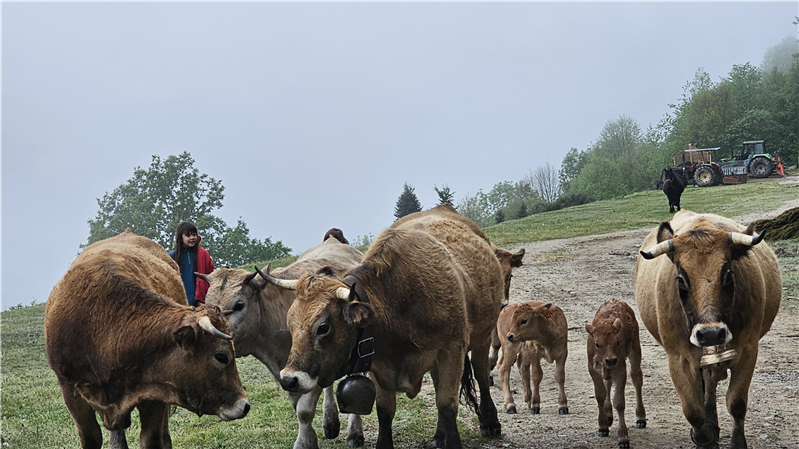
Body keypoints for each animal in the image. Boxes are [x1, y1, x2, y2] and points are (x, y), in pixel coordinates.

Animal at [45, 229, 249, 449]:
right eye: (221, 356)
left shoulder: (154, 392)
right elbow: (92, 437)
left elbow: (151, 439)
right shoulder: (70, 390)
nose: (244, 405)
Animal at [200, 236, 365, 449]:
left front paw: (303, 442)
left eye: (238, 305)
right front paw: (310, 439)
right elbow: (297, 405)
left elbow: (304, 410)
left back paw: (354, 431)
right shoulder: (289, 374)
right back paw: (330, 421)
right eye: (206, 305)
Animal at [269, 207, 505, 449]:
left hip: (482, 337)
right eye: (290, 323)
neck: (399, 302)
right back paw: (440, 435)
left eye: (323, 327)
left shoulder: (452, 350)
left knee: (481, 373)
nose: (288, 379)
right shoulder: (379, 364)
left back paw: (490, 422)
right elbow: (385, 410)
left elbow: (447, 403)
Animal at [585, 299, 646, 449]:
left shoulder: (620, 370)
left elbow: (619, 402)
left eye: (618, 341)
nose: (611, 359)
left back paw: (641, 418)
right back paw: (608, 416)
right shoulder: (593, 370)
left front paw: (623, 438)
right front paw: (602, 427)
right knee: (608, 383)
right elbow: (600, 395)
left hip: (635, 351)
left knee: (637, 378)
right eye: (597, 343)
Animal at [635, 210, 782, 449]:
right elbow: (693, 412)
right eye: (681, 280)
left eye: (728, 274)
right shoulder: (677, 358)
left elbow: (736, 403)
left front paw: (736, 442)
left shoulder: (748, 349)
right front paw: (705, 437)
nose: (710, 334)